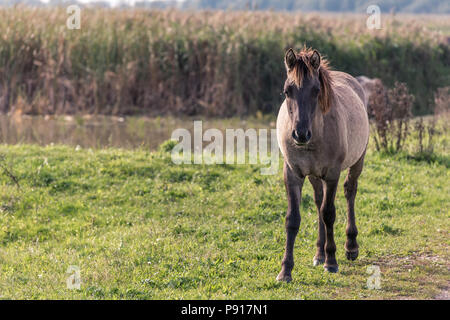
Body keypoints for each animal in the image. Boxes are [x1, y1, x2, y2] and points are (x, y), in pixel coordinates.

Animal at [274, 46, 370, 282]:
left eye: (316, 91)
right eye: (287, 91)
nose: (300, 134)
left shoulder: (332, 174)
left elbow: (329, 214)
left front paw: (332, 261)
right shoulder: (293, 173)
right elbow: (293, 219)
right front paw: (285, 270)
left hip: (357, 162)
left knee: (349, 192)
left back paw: (350, 246)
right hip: (313, 175)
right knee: (318, 201)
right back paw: (319, 253)